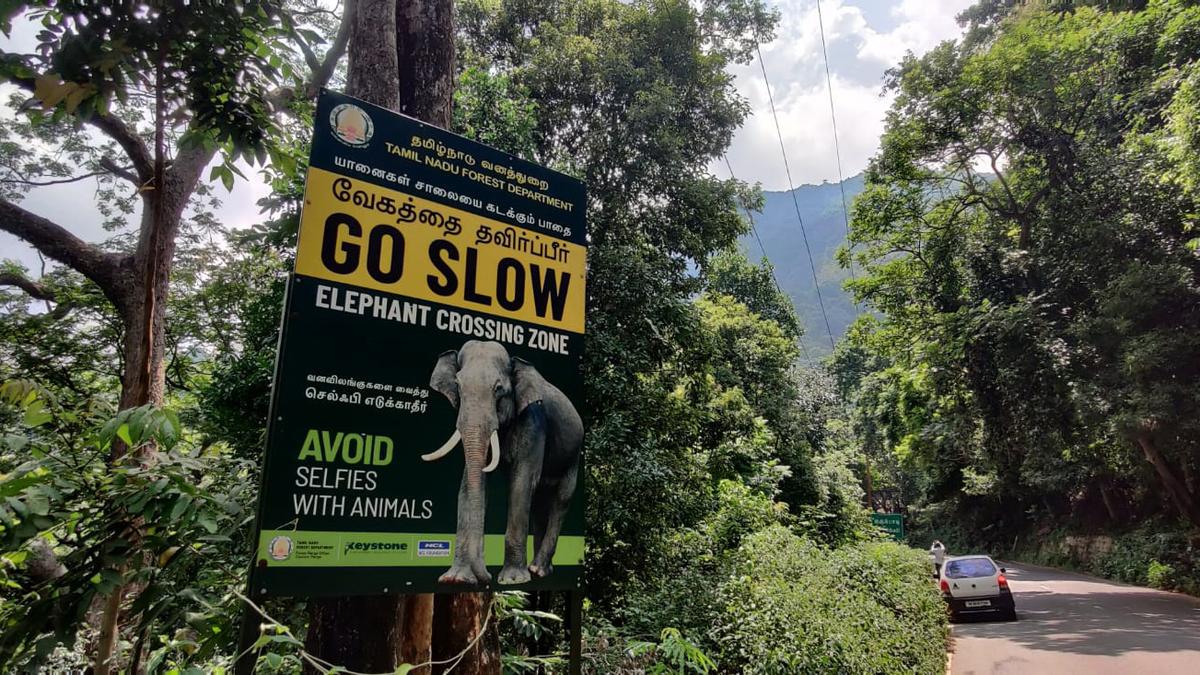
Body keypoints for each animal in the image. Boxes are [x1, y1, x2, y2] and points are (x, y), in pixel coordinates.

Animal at [425, 340, 582, 585]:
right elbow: (470, 484)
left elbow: (522, 482)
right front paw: (456, 579)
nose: (486, 576)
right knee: (539, 504)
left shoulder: (533, 423)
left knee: (561, 499)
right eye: (458, 386)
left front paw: (513, 580)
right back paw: (541, 570)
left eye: (498, 389)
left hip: (573, 458)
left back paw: (537, 569)